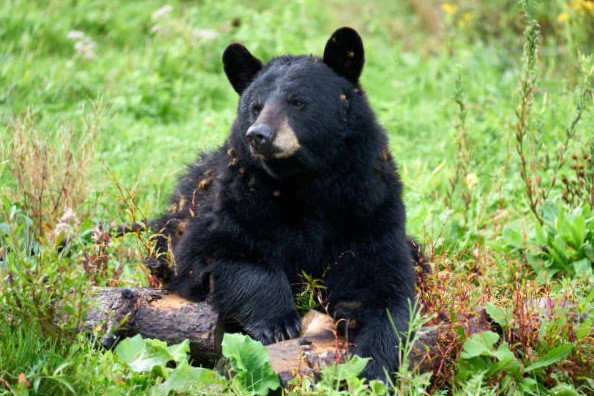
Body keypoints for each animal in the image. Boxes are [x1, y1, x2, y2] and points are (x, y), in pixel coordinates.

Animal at [147, 27, 414, 380]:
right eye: (255, 106)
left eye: (297, 101)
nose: (258, 134)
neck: (305, 184)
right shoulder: (239, 198)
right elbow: (215, 252)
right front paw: (279, 323)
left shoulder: (368, 207)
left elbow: (381, 282)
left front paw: (375, 364)